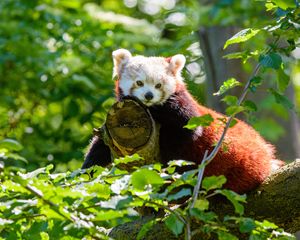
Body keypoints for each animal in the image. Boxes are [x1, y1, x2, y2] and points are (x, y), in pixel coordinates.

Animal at [84, 48, 284, 193]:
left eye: (158, 85)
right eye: (139, 83)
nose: (148, 95)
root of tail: (266, 154)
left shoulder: (184, 111)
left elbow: (185, 134)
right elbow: (100, 146)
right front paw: (86, 171)